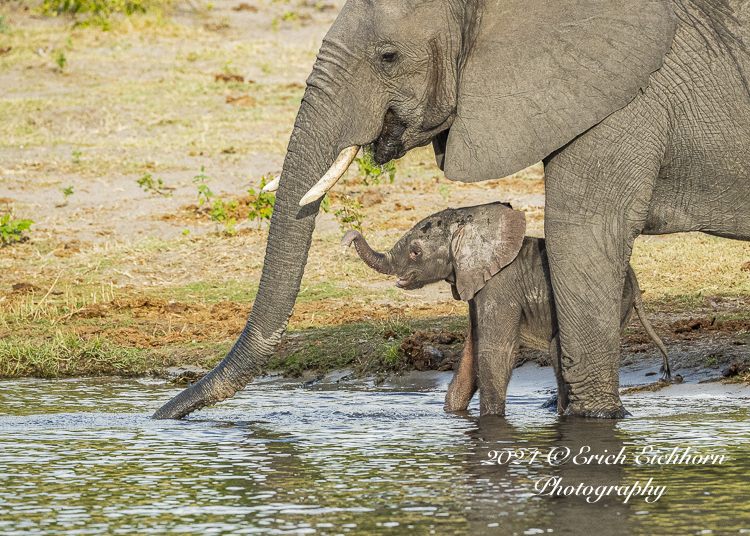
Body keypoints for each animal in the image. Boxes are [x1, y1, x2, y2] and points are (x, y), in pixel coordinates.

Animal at [344, 201, 672, 414]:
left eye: (415, 252)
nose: (348, 237)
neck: (472, 223)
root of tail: (634, 278)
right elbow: (472, 353)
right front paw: (452, 415)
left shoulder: (498, 288)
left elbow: (494, 353)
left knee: (559, 350)